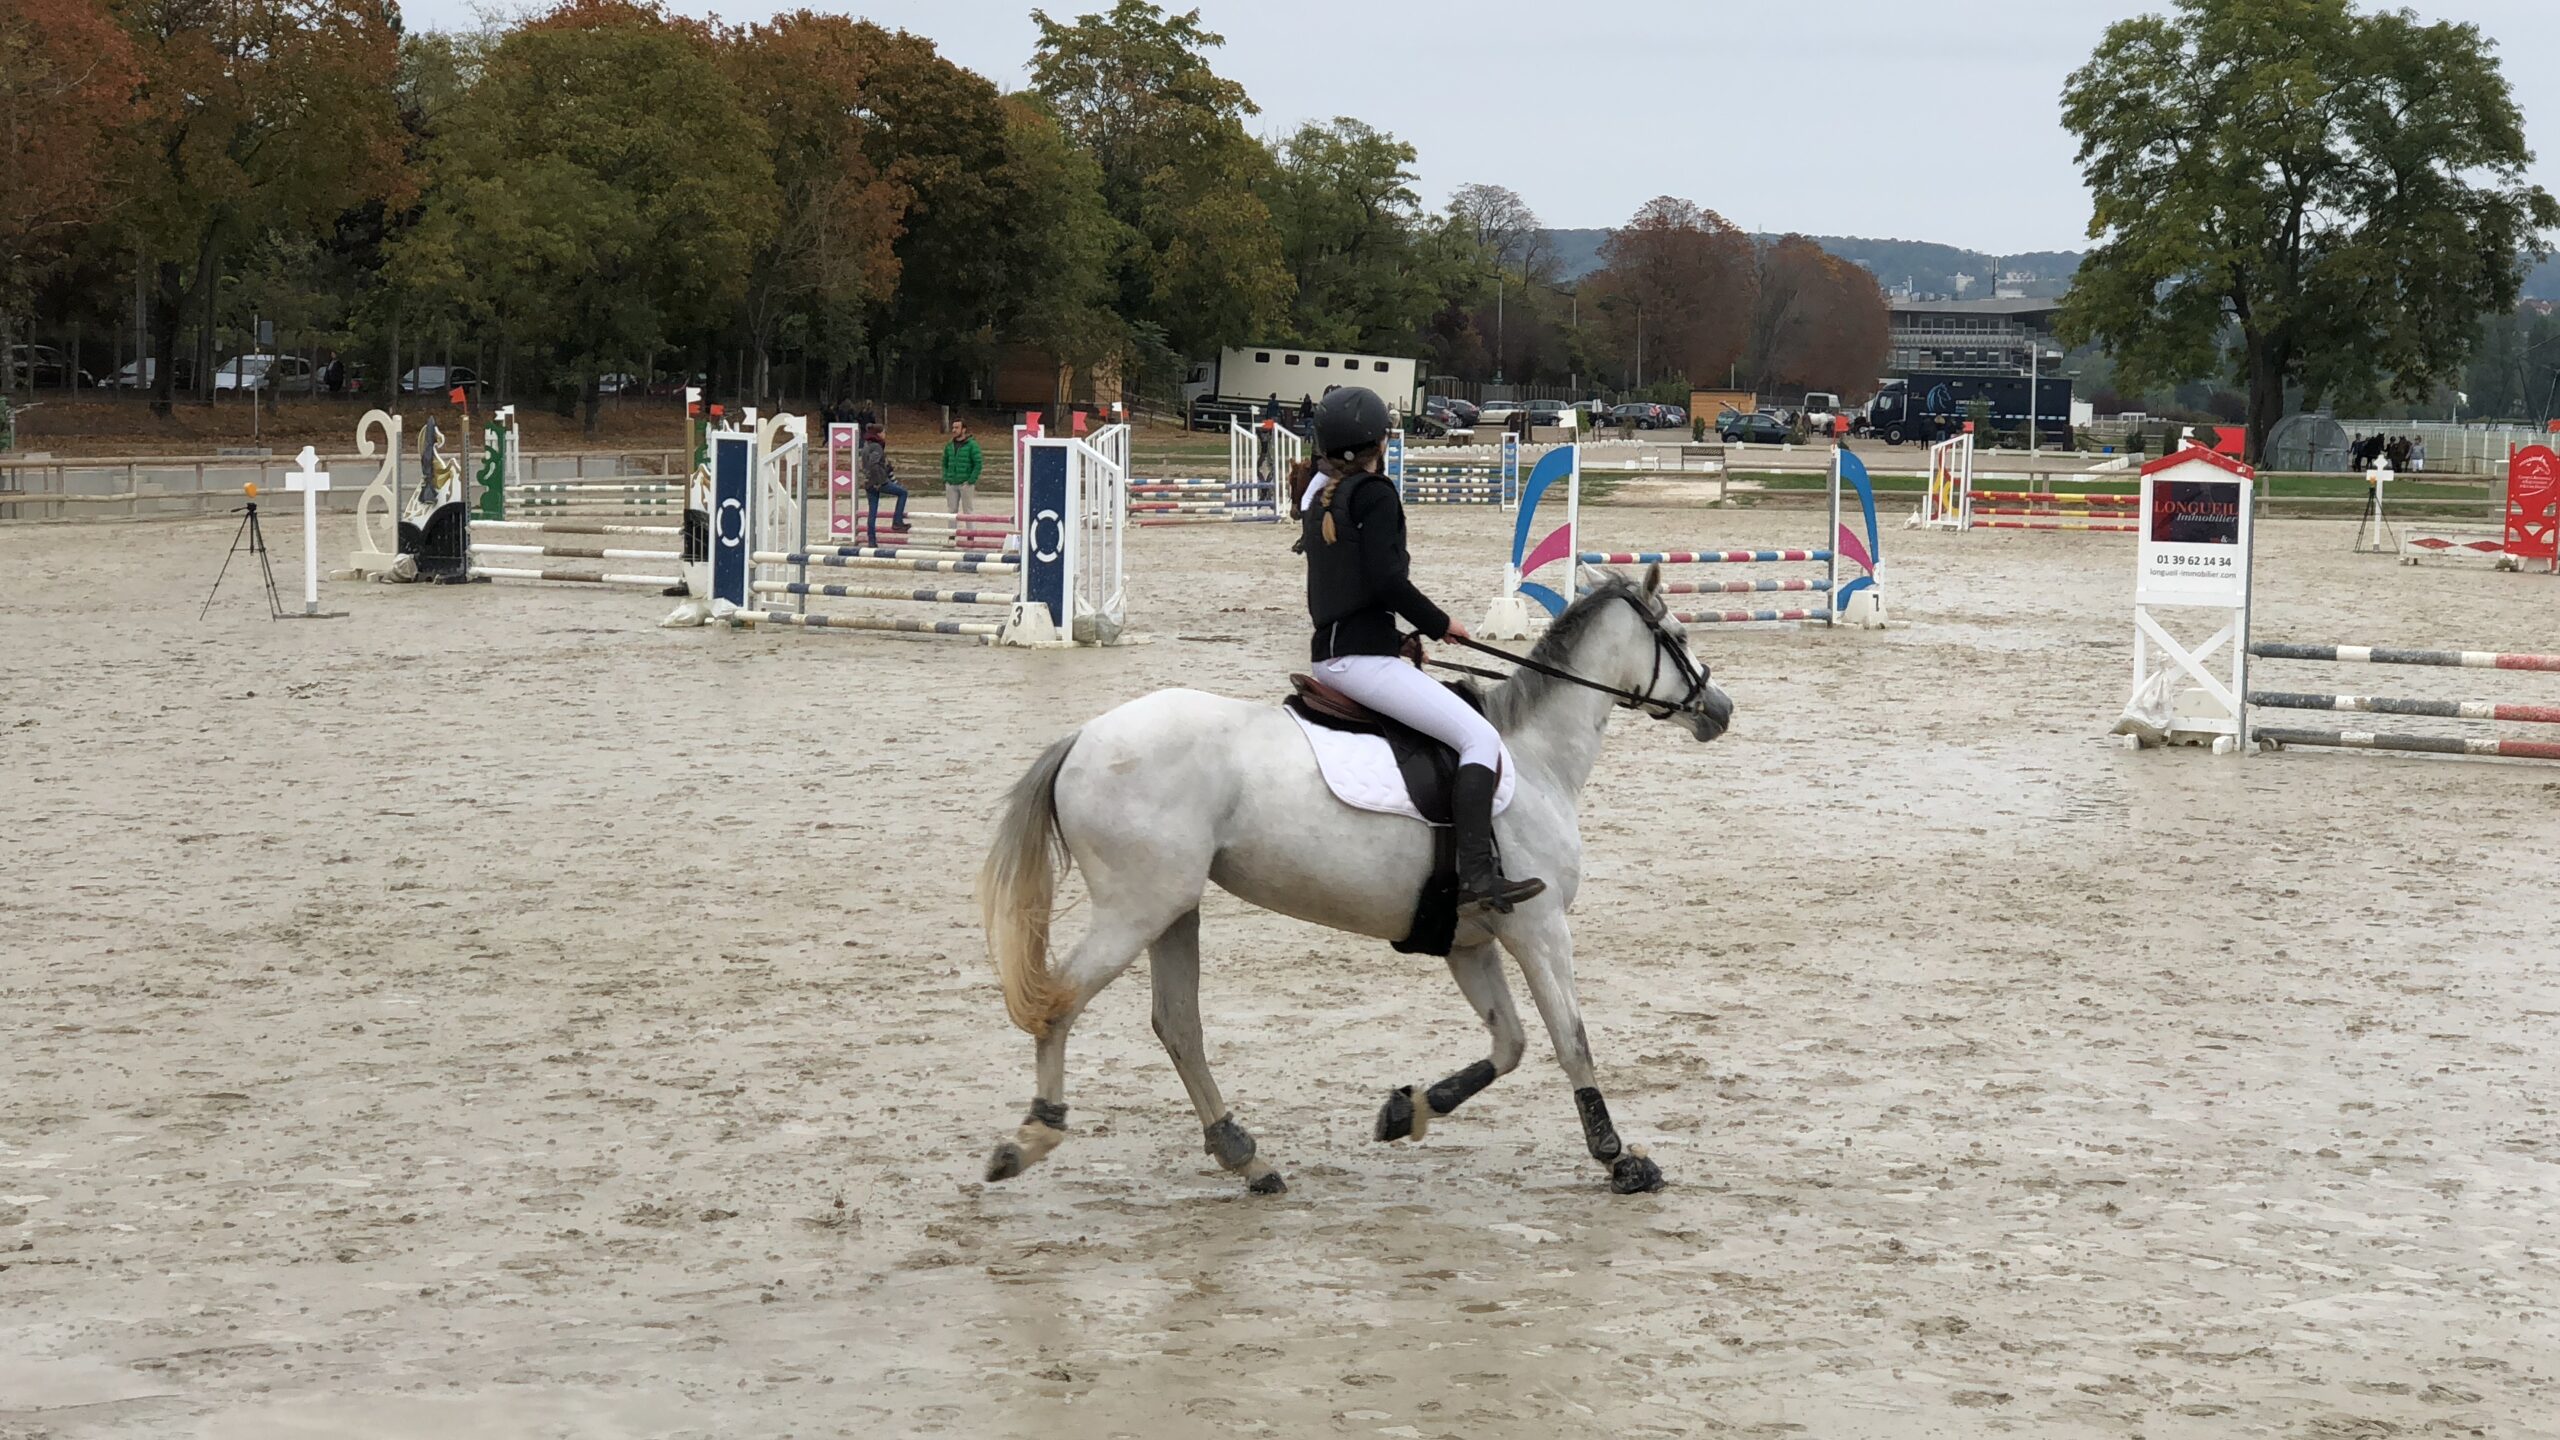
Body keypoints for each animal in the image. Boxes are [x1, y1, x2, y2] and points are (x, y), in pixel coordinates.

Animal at [977, 568, 1740, 1188]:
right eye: (1678, 634)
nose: (1721, 710)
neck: (1534, 758)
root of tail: (1084, 738)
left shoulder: (1469, 942)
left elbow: (1511, 1044)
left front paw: (1407, 1111)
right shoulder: (1540, 929)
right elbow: (1570, 1039)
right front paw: (1618, 1159)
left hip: (1172, 908)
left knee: (1179, 1025)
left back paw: (1245, 1156)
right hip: (1134, 908)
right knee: (1063, 1003)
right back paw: (1032, 1137)